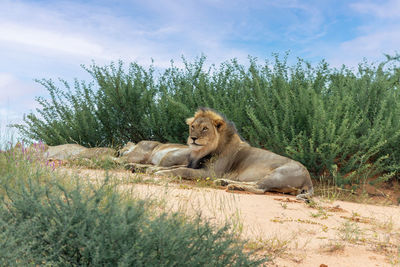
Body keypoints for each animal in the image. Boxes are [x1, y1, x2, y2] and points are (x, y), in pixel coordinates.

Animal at [155, 107, 314, 201]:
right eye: (192, 127)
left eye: (205, 128)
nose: (193, 138)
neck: (201, 152)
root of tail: (309, 179)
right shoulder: (195, 165)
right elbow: (175, 167)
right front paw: (155, 169)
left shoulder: (209, 173)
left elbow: (182, 170)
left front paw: (160, 173)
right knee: (255, 183)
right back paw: (225, 182)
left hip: (278, 174)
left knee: (259, 188)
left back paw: (233, 187)